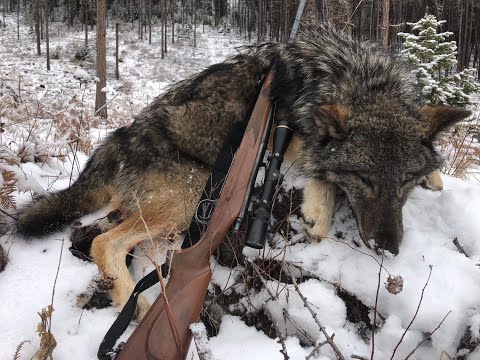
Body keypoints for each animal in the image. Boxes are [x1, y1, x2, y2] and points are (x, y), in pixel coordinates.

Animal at [15, 25, 472, 318]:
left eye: (405, 184)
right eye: (364, 181)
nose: (389, 250)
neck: (354, 79)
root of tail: (120, 138)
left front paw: (435, 175)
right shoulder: (295, 136)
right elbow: (319, 170)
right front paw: (318, 209)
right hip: (188, 196)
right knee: (104, 244)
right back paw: (140, 307)